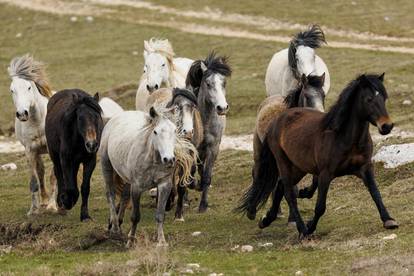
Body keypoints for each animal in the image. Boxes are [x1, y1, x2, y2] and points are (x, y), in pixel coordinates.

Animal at [7, 54, 57, 216]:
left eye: (29, 87)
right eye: (12, 90)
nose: (22, 113)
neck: (38, 122)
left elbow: (54, 176)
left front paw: (53, 206)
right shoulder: (30, 151)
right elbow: (34, 180)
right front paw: (33, 210)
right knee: (40, 172)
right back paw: (44, 201)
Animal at [45, 89, 102, 221]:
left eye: (96, 117)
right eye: (80, 118)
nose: (91, 144)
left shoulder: (90, 160)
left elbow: (85, 188)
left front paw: (85, 215)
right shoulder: (65, 159)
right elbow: (70, 187)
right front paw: (66, 201)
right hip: (55, 156)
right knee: (59, 175)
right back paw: (61, 203)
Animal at [100, 106, 197, 247]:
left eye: (174, 130)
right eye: (155, 132)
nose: (169, 159)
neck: (152, 160)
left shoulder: (164, 185)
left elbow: (160, 215)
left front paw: (161, 242)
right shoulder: (136, 187)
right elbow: (135, 216)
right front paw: (130, 241)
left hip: (127, 179)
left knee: (124, 197)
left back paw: (119, 223)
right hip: (106, 165)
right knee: (111, 195)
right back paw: (115, 229)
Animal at [185, 51, 231, 211]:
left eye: (224, 83)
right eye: (208, 83)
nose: (222, 108)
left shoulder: (213, 148)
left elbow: (206, 175)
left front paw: (203, 205)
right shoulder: (192, 148)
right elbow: (190, 171)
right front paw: (193, 185)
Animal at [238, 73, 400, 237]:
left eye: (384, 98)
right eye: (369, 99)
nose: (386, 126)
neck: (343, 137)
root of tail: (276, 120)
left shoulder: (365, 168)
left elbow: (375, 193)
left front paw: (389, 220)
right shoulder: (325, 174)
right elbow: (320, 206)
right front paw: (309, 227)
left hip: (298, 167)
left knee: (280, 187)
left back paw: (266, 220)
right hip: (281, 162)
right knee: (288, 192)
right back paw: (300, 229)